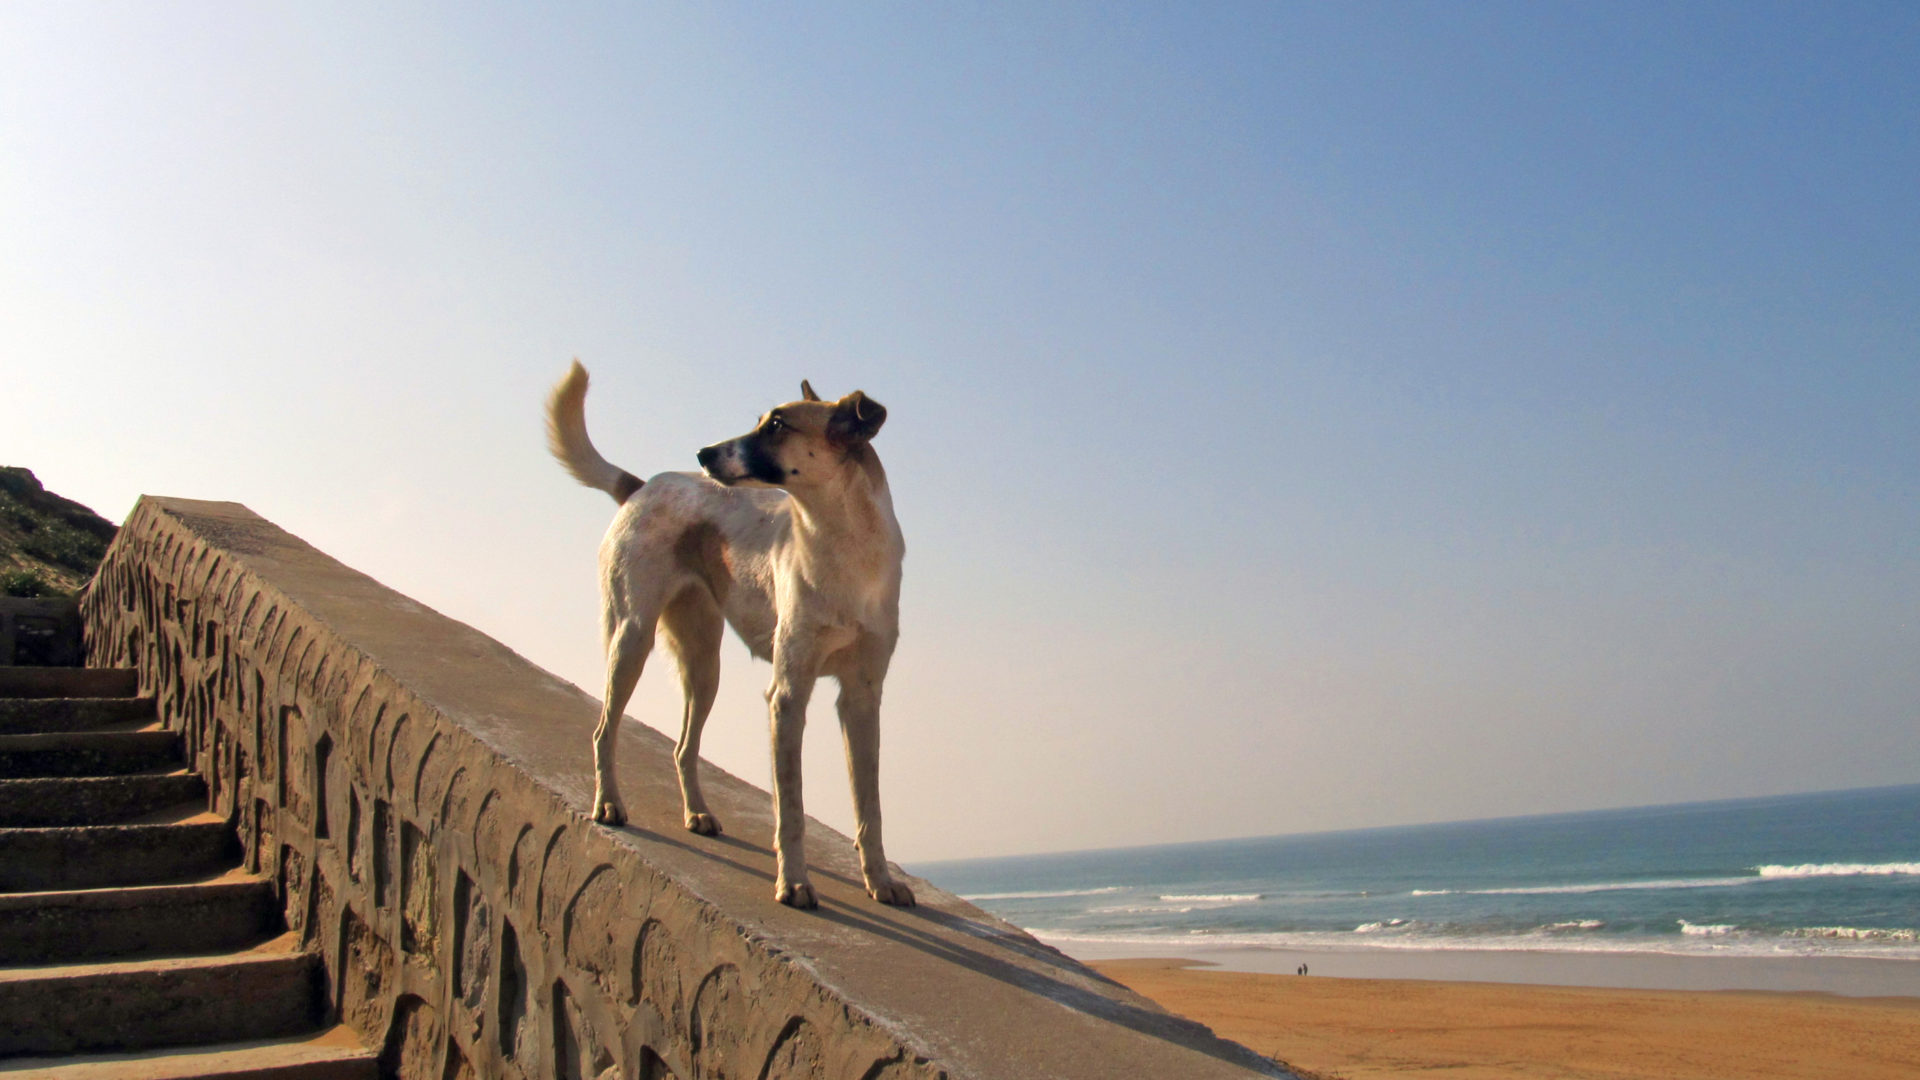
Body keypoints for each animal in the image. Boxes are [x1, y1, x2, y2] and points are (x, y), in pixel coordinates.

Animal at [541, 363, 913, 907]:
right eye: (761, 420)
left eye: (777, 425)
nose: (704, 453)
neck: (846, 549)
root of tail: (642, 486)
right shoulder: (787, 694)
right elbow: (791, 808)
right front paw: (793, 882)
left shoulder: (862, 698)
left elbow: (871, 807)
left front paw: (881, 880)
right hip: (631, 640)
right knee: (603, 730)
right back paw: (609, 803)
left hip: (703, 668)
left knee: (683, 747)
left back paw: (696, 813)